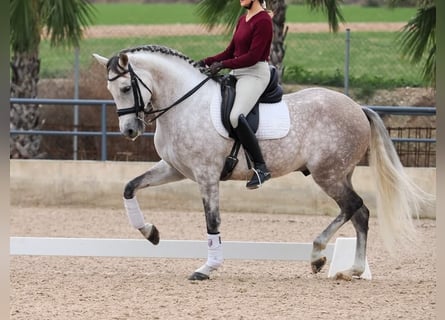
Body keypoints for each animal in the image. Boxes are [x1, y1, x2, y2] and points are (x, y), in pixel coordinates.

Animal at [93, 44, 430, 280]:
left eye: (126, 88)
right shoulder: (175, 169)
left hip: (328, 174)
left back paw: (320, 255)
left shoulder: (206, 175)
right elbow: (129, 187)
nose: (130, 131)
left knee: (353, 207)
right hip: (339, 173)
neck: (185, 103)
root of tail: (358, 107)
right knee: (360, 213)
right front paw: (150, 233)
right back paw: (350, 269)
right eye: (111, 90)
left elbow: (212, 221)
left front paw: (207, 268)